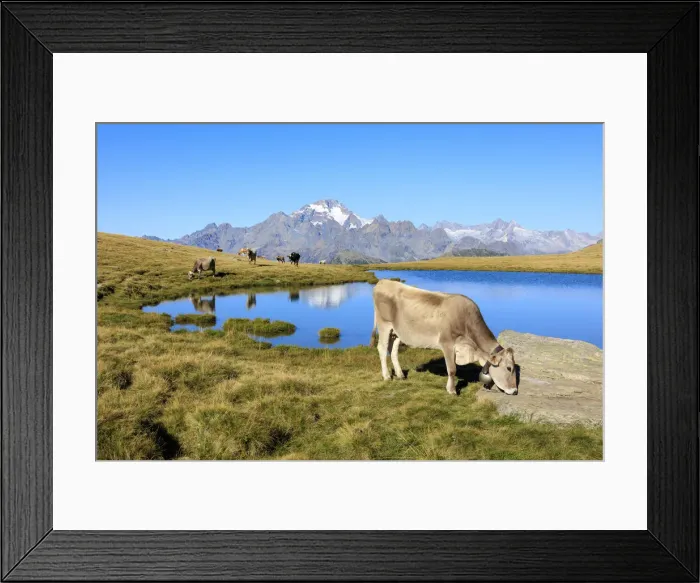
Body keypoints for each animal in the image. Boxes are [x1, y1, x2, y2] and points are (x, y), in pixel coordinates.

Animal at [370, 279, 518, 396]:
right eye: (509, 368)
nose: (515, 391)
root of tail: (382, 282)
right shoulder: (447, 343)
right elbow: (452, 369)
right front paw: (452, 390)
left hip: (397, 332)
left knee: (393, 350)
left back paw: (400, 375)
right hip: (384, 325)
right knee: (382, 348)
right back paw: (387, 376)